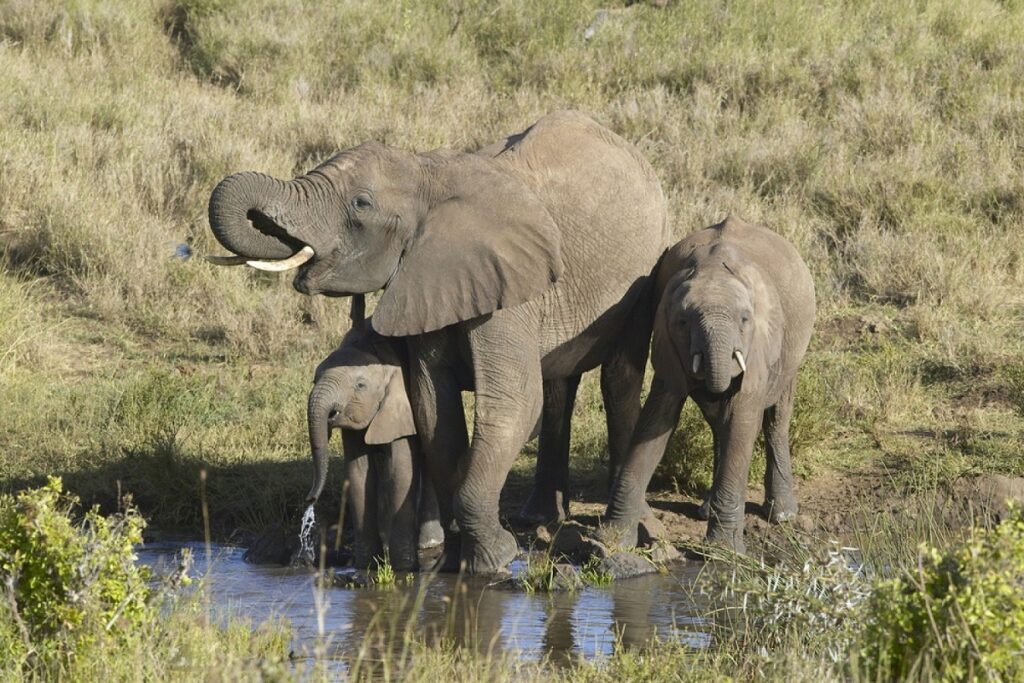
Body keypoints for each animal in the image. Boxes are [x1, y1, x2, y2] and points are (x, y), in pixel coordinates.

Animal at [307, 299, 444, 573]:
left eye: (360, 386)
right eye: (314, 379)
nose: (311, 499)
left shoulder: (400, 406)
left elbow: (401, 471)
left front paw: (402, 568)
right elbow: (359, 474)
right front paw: (367, 565)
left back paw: (428, 544)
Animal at [598, 219, 815, 557]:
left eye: (744, 319)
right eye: (683, 322)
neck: (713, 269)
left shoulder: (760, 343)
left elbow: (742, 420)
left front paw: (723, 553)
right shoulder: (666, 340)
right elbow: (655, 423)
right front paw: (611, 540)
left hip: (792, 349)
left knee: (776, 417)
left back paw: (781, 515)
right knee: (718, 423)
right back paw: (707, 510)